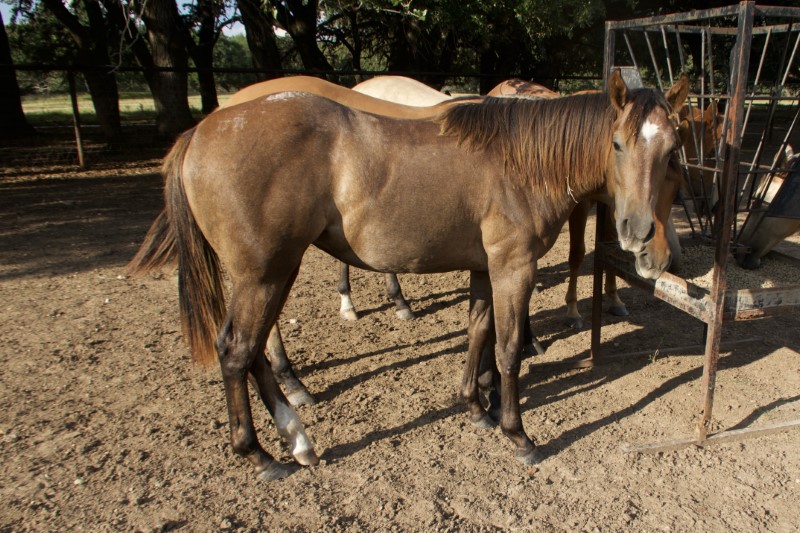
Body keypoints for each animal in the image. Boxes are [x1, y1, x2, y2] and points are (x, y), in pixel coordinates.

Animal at [130, 68, 688, 480]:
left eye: (671, 153)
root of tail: (202, 131)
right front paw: (517, 433)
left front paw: (475, 408)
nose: (641, 235)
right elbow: (508, 349)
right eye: (617, 144)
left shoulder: (484, 268)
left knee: (255, 352)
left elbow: (478, 332)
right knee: (237, 351)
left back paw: (297, 437)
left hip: (274, 272)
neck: (521, 162)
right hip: (264, 273)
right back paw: (262, 455)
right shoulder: (513, 268)